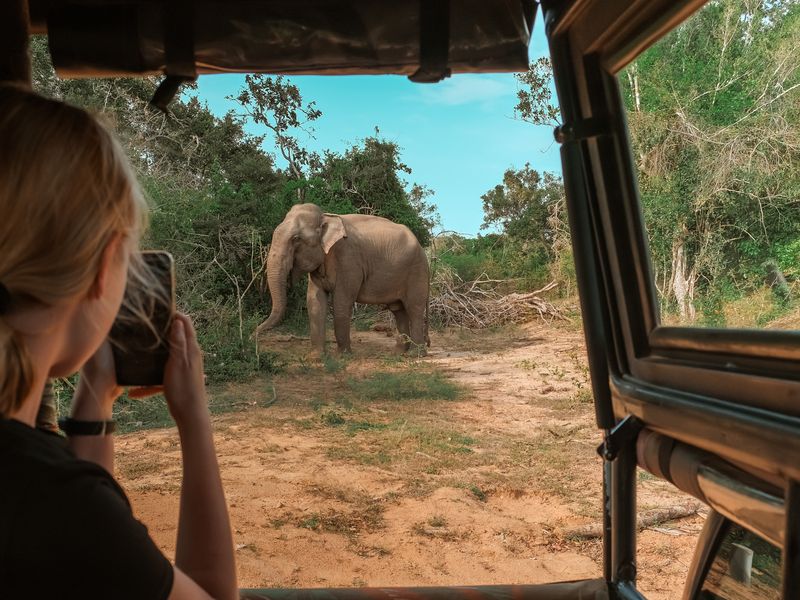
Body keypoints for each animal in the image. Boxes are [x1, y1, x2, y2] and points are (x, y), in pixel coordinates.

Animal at [256, 204, 432, 354]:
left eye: (296, 239)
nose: (253, 334)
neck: (326, 216)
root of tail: (424, 251)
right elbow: (315, 301)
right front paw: (316, 357)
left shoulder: (349, 261)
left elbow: (342, 301)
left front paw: (343, 355)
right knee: (398, 310)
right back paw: (399, 354)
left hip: (417, 273)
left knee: (414, 310)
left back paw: (415, 354)